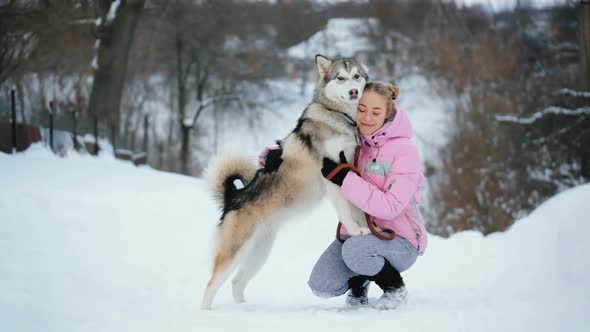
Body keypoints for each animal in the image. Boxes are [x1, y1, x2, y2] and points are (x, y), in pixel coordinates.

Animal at [202, 53, 370, 310]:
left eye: (357, 76)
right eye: (340, 78)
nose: (353, 91)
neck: (338, 116)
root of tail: (233, 197)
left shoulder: (350, 170)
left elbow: (357, 206)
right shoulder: (333, 174)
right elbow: (345, 210)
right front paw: (355, 230)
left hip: (259, 253)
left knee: (237, 282)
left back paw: (243, 309)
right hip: (234, 251)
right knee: (210, 286)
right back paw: (206, 313)